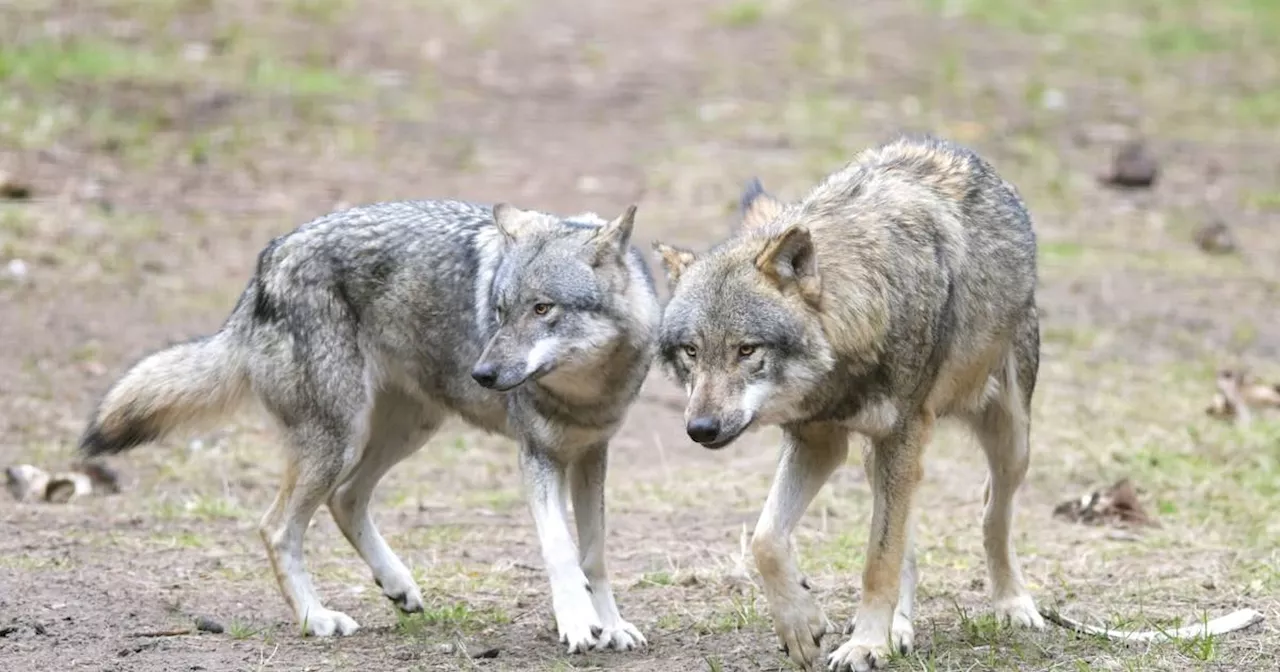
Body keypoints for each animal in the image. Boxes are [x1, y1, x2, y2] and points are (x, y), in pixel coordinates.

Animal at [77, 198, 660, 650]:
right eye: (498, 311)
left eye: (542, 309)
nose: (483, 373)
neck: (586, 391)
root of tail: (267, 264)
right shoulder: (537, 457)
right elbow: (561, 550)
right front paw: (578, 625)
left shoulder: (591, 455)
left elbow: (594, 555)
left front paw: (611, 626)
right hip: (340, 440)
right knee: (276, 526)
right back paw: (316, 619)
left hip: (406, 431)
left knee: (345, 499)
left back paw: (396, 584)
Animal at [655, 133, 1044, 665]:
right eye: (691, 351)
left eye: (747, 349)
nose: (701, 429)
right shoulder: (819, 441)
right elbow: (765, 539)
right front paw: (803, 624)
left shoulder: (901, 435)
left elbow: (878, 560)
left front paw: (864, 644)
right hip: (878, 457)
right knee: (909, 542)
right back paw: (899, 629)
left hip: (1009, 440)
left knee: (991, 513)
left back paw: (1012, 603)